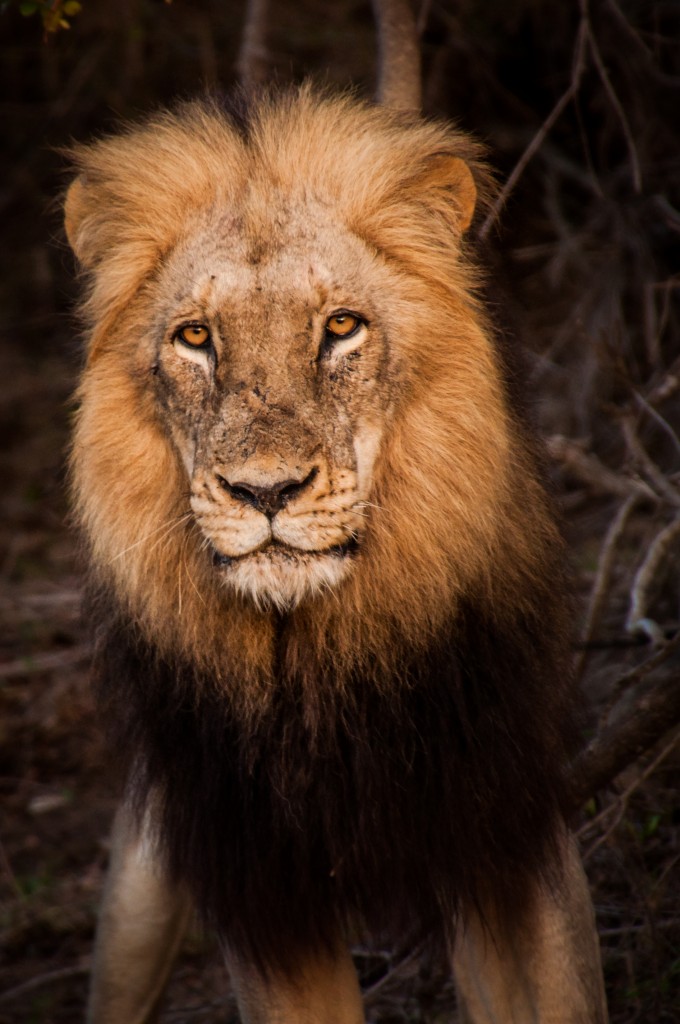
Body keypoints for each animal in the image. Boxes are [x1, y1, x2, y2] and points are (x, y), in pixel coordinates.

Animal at [63, 28, 606, 1024]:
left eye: (341, 327)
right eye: (195, 338)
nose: (265, 491)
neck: (321, 659)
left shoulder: (507, 831)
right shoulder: (264, 892)